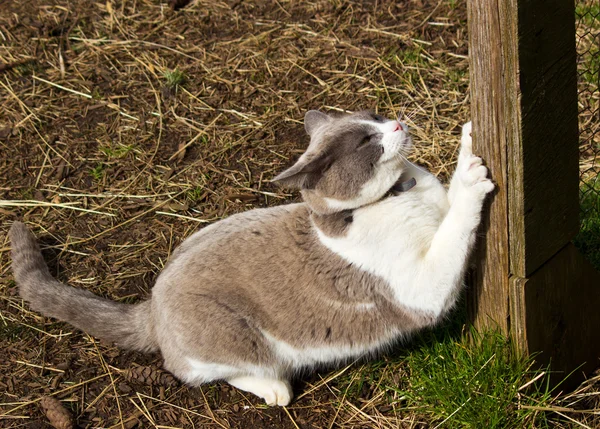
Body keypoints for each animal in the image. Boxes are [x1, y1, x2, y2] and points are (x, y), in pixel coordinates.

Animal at [11, 110, 494, 404]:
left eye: (374, 116)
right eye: (364, 140)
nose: (395, 123)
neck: (401, 193)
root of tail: (151, 304)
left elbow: (452, 197)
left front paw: (468, 146)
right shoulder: (422, 289)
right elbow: (457, 227)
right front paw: (475, 179)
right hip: (233, 336)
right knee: (197, 369)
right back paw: (274, 387)